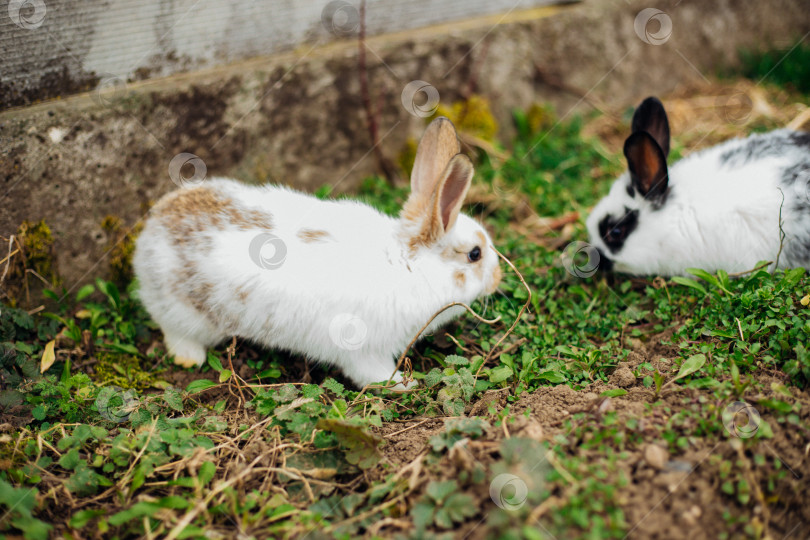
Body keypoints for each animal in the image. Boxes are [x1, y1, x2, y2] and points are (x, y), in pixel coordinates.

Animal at [133, 117, 498, 388]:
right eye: (475, 254)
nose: (498, 278)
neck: (409, 264)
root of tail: (151, 227)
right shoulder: (365, 349)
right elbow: (374, 375)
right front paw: (405, 386)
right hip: (185, 313)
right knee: (173, 331)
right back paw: (188, 357)